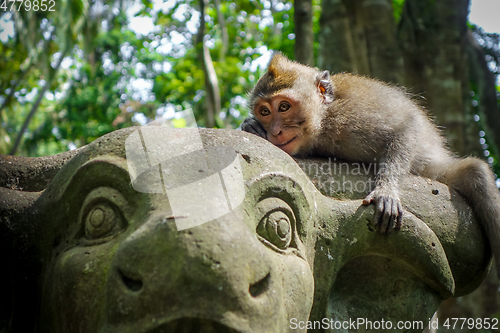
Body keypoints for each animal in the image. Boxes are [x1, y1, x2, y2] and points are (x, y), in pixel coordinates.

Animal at [243, 52, 500, 274]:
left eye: (284, 107)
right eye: (264, 111)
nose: (274, 131)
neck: (324, 120)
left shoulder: (354, 115)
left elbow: (407, 126)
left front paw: (386, 191)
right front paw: (251, 126)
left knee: (476, 174)